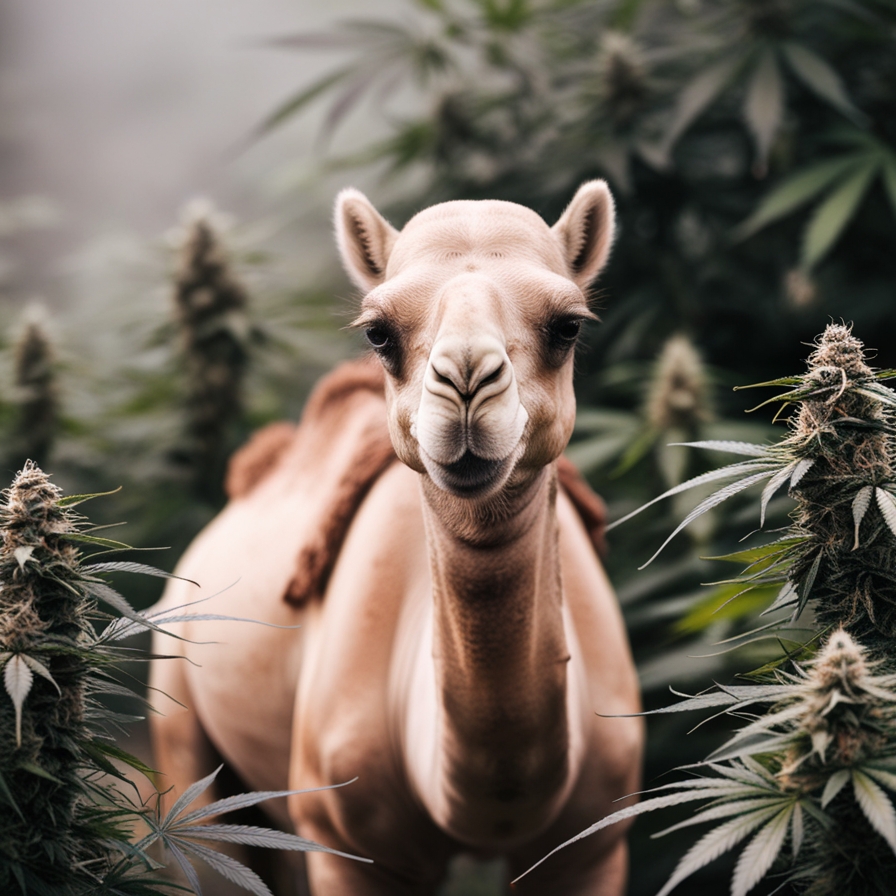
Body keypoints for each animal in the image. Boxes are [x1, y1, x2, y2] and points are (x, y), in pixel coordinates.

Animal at [149, 182, 643, 895]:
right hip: (178, 728)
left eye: (568, 325)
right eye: (378, 333)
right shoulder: (345, 845)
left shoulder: (591, 848)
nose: (466, 382)